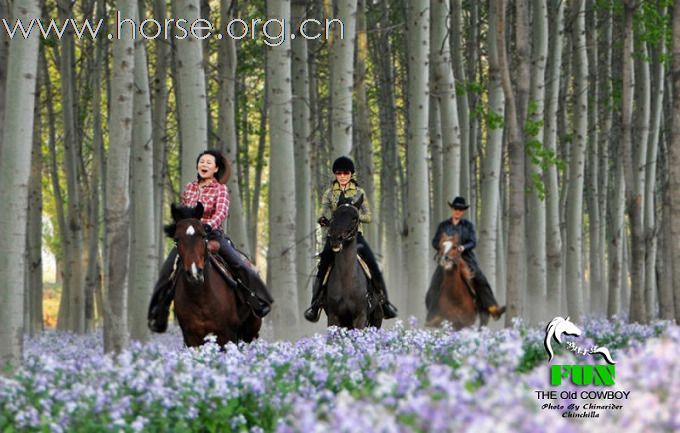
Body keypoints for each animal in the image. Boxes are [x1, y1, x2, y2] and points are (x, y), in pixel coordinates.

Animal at [164, 203, 260, 348]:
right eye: (176, 239)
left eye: (203, 236)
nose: (194, 273)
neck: (200, 296)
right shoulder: (191, 337)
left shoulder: (227, 334)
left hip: (251, 330)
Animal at [324, 192, 382, 328]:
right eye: (334, 215)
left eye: (355, 217)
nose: (336, 238)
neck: (347, 279)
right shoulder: (333, 317)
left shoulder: (360, 317)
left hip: (376, 318)